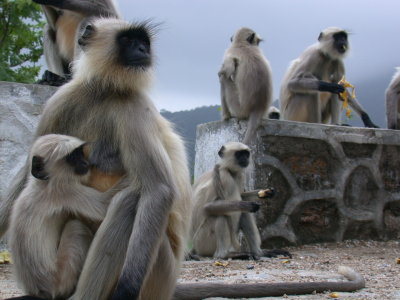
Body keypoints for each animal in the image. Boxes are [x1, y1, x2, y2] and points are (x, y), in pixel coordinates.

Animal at [9, 134, 126, 300]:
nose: (85, 163)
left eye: (79, 153)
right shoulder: (65, 191)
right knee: (76, 227)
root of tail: (41, 291)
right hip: (61, 277)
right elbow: (104, 206)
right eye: (71, 157)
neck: (43, 184)